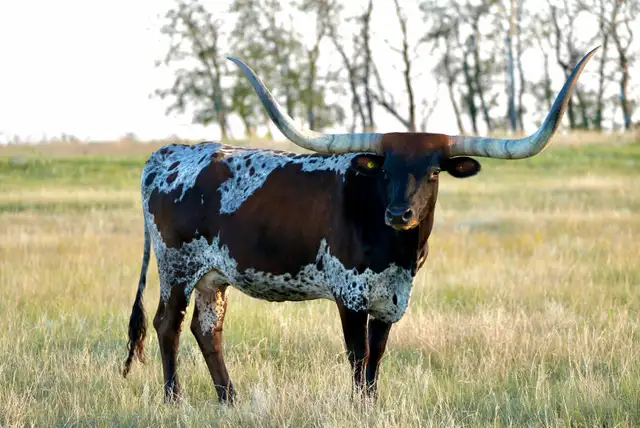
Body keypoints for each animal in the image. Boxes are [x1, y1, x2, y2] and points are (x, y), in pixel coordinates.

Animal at [122, 47, 598, 404]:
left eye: (433, 172)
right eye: (385, 170)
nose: (399, 214)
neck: (396, 250)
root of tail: (166, 154)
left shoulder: (390, 299)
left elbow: (377, 355)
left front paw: (371, 402)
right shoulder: (348, 294)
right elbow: (357, 354)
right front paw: (357, 406)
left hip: (213, 276)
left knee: (208, 330)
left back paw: (229, 400)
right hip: (176, 267)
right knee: (168, 324)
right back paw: (174, 399)